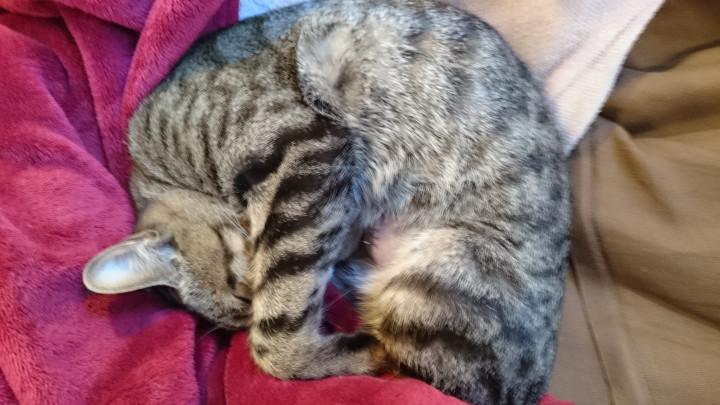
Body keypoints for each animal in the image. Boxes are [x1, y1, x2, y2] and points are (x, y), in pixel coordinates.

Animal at [82, 0, 570, 404]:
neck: (162, 163)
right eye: (237, 305)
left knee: (432, 374)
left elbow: (275, 340)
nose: (248, 306)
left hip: (438, 283)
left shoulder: (305, 147)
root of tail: (534, 384)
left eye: (240, 289)